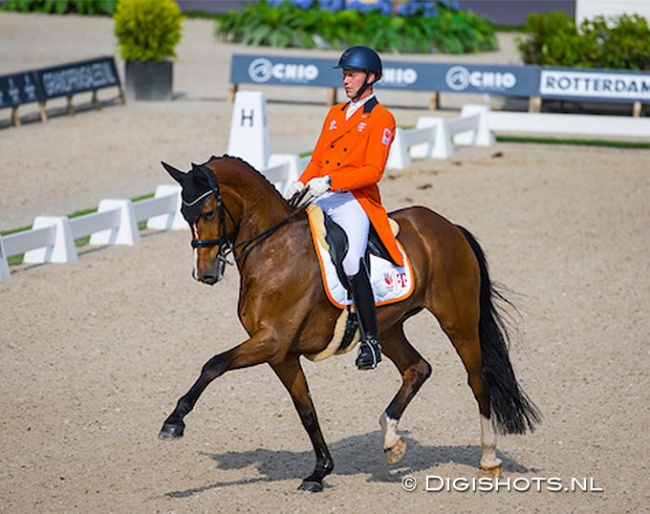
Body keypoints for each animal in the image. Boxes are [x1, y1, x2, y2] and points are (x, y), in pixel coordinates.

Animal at [158, 154, 540, 490]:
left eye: (209, 211)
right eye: (184, 214)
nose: (205, 273)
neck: (274, 249)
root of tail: (446, 225)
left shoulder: (272, 341)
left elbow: (213, 364)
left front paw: (174, 422)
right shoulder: (281, 355)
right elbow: (306, 410)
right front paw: (320, 471)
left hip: (458, 320)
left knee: (478, 380)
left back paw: (489, 458)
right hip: (389, 327)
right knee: (417, 368)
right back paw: (390, 438)